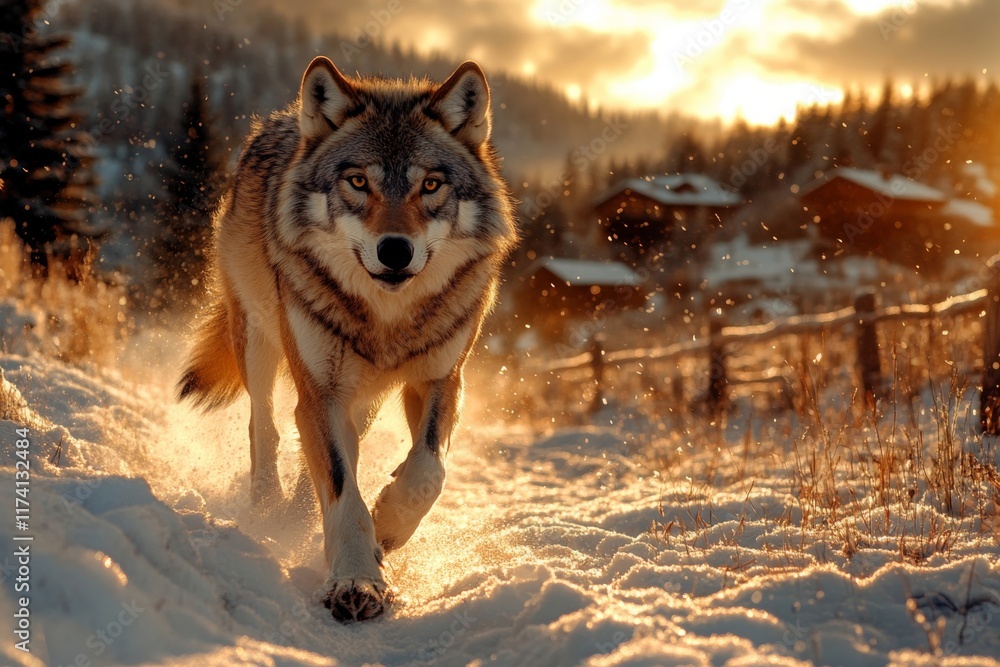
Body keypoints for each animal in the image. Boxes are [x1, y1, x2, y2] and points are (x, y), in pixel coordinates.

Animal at [177, 57, 517, 622]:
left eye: (430, 185)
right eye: (359, 181)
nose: (395, 250)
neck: (386, 318)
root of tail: (281, 120)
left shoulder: (442, 380)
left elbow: (427, 471)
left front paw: (388, 526)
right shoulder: (321, 392)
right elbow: (341, 487)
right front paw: (356, 580)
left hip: (364, 397)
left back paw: (298, 517)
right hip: (260, 344)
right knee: (264, 428)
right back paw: (269, 511)